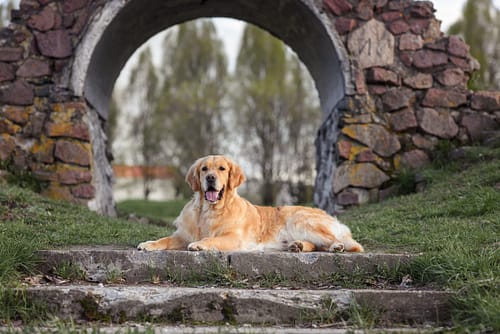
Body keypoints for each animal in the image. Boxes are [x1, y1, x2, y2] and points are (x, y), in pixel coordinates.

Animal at [137, 155, 364, 252]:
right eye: (204, 169)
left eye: (222, 168)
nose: (210, 178)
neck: (208, 211)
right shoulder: (183, 235)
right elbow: (165, 239)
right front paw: (149, 244)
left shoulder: (233, 237)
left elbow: (212, 239)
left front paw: (201, 244)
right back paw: (297, 245)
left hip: (300, 219)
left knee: (344, 243)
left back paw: (336, 246)